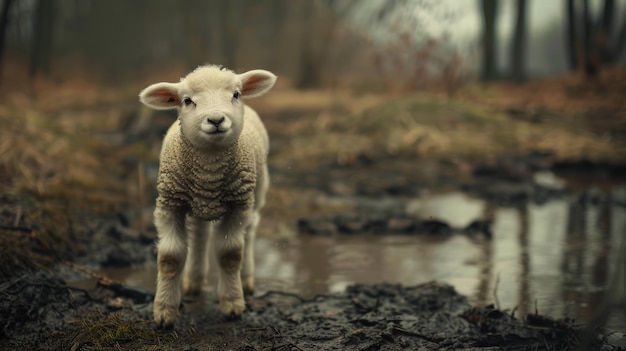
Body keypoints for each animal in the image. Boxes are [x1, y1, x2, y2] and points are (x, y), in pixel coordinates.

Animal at [139, 64, 276, 330]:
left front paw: (232, 304)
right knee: (200, 234)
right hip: (195, 203)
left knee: (250, 231)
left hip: (256, 192)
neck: (209, 172)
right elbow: (170, 258)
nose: (216, 120)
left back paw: (246, 280)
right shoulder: (170, 204)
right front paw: (164, 311)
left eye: (236, 94)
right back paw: (193, 281)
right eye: (187, 100)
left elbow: (230, 255)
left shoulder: (238, 205)